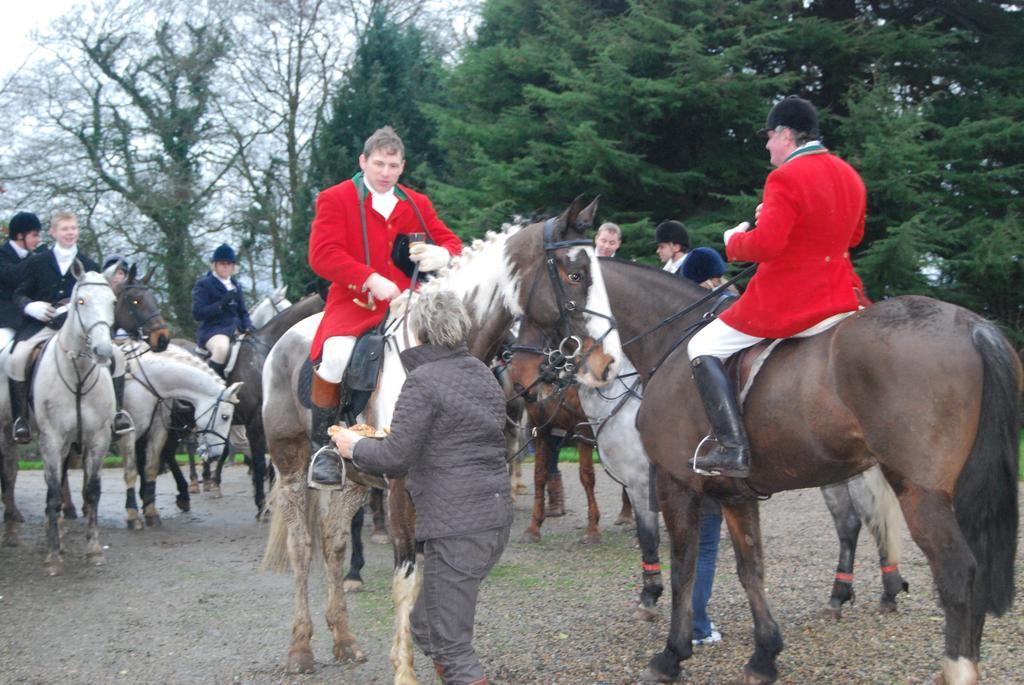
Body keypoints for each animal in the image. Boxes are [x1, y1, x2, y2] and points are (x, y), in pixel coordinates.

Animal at [0, 266, 117, 573]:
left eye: (113, 301)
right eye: (81, 301)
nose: (103, 351)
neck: (78, 372)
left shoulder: (98, 438)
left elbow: (92, 491)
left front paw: (93, 549)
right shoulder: (51, 439)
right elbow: (52, 492)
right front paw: (53, 556)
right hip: (8, 432)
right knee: (10, 475)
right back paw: (12, 531)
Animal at [117, 341, 241, 528]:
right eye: (225, 416)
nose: (215, 455)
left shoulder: (157, 429)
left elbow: (151, 466)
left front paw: (149, 508)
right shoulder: (130, 431)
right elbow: (132, 470)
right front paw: (133, 514)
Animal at [581, 258, 1019, 683]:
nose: (596, 369)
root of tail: (973, 325)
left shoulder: (670, 485)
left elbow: (680, 566)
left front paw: (671, 652)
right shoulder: (734, 494)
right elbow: (750, 568)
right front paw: (764, 655)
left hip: (918, 490)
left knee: (954, 568)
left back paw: (955, 664)